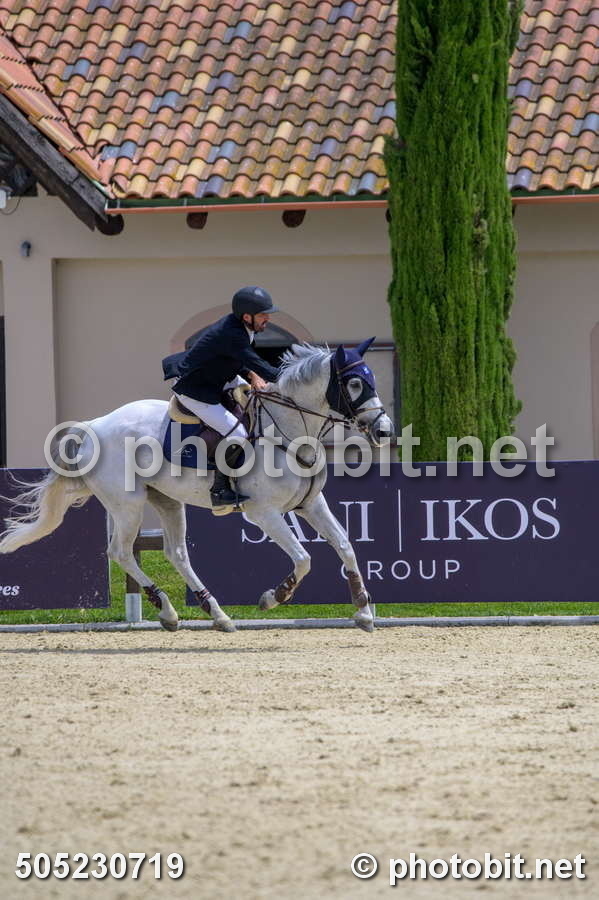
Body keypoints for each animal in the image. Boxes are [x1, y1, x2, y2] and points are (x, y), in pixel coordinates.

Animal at [0, 341, 394, 633]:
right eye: (356, 384)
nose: (385, 431)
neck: (289, 429)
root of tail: (95, 425)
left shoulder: (311, 504)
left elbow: (345, 546)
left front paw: (363, 612)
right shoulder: (264, 513)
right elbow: (304, 558)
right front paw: (275, 596)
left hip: (167, 501)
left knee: (176, 553)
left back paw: (215, 613)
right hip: (127, 505)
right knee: (121, 552)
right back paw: (168, 611)